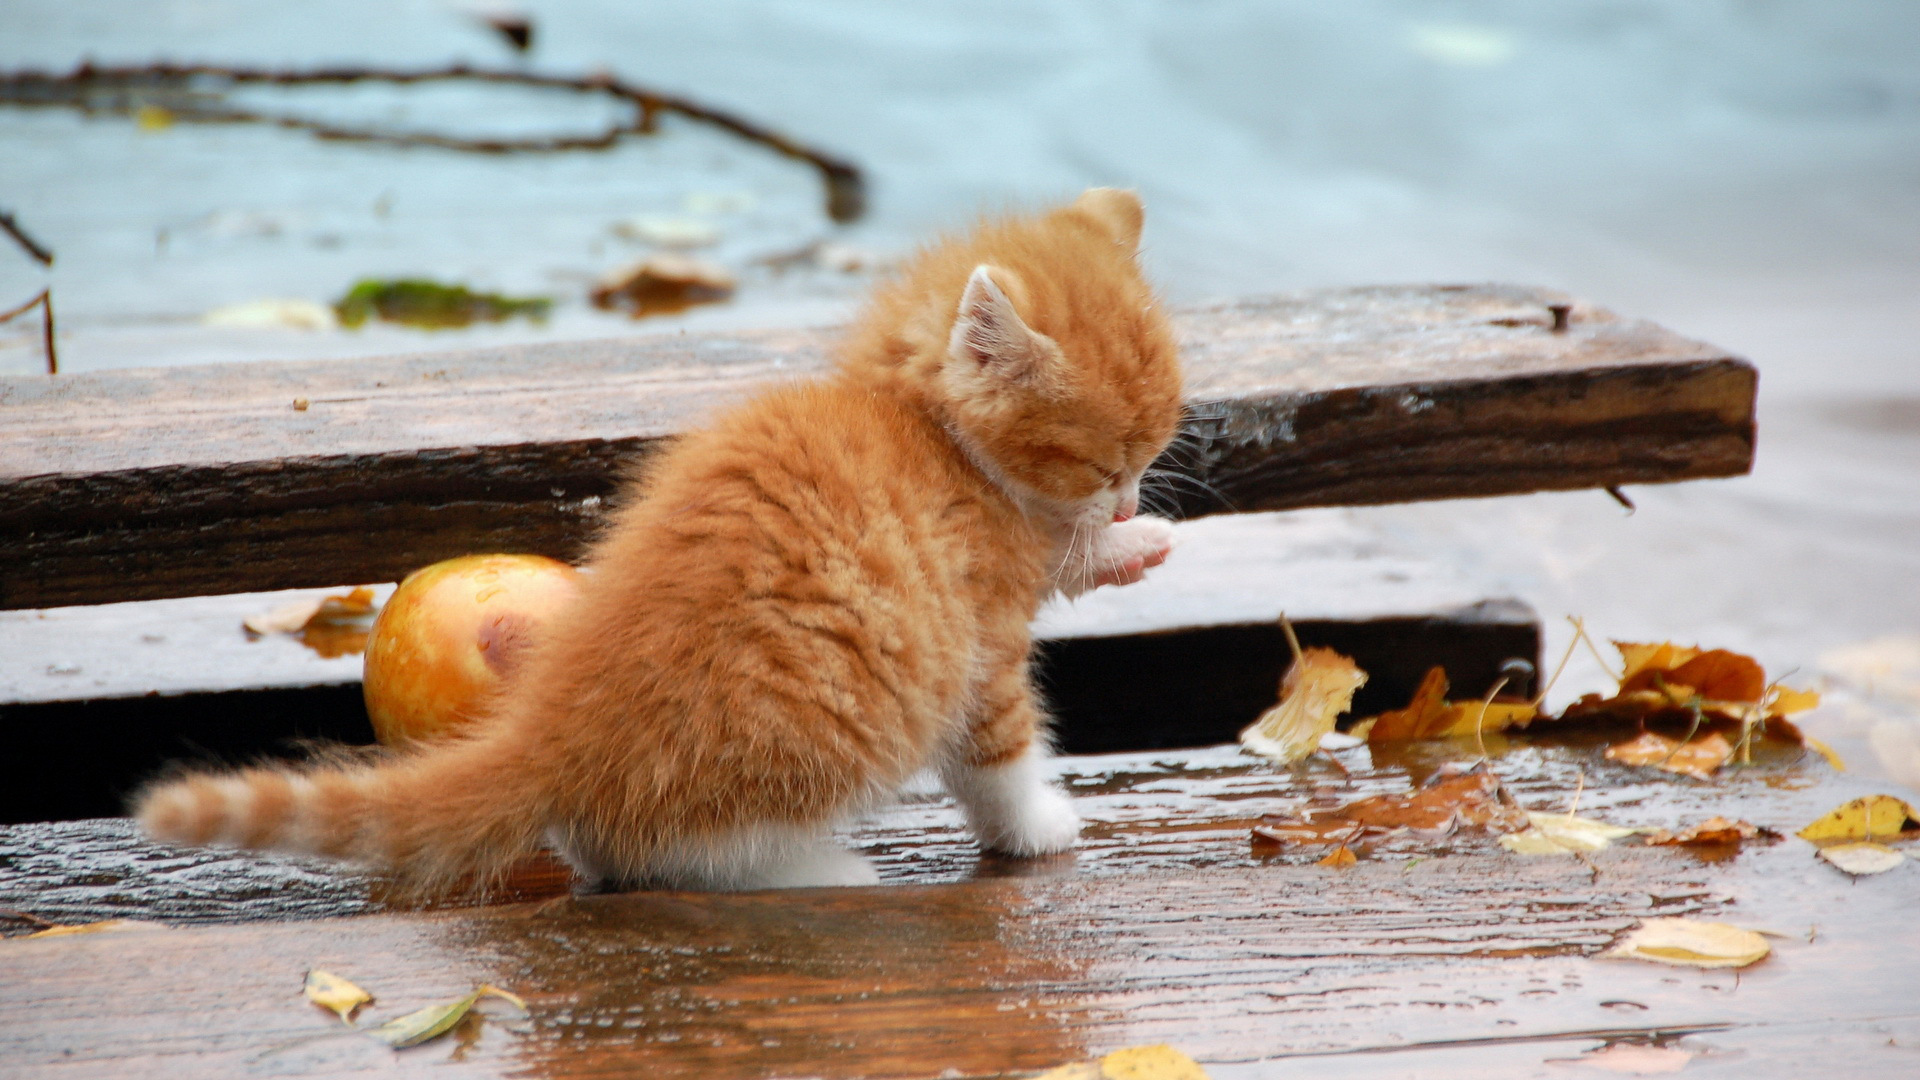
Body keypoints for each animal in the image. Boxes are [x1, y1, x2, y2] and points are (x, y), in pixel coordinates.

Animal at [135, 187, 1182, 891]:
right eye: (1105, 463)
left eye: (1150, 452)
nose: (1128, 501)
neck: (922, 429)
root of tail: (555, 730)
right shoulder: (974, 631)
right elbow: (996, 751)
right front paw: (1036, 826)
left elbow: (1061, 560)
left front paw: (1130, 548)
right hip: (815, 720)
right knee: (673, 848)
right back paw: (814, 871)